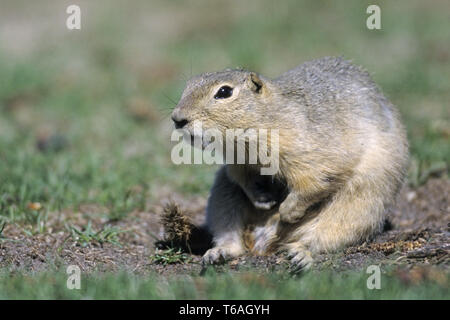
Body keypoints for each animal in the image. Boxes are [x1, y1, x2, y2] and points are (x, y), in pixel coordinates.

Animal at [171, 56, 408, 268]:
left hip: (355, 212)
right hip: (222, 198)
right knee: (233, 241)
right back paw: (218, 253)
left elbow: (315, 182)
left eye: (224, 92)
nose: (177, 118)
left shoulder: (314, 153)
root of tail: (262, 242)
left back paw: (300, 255)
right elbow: (243, 179)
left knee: (317, 239)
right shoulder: (238, 163)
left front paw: (286, 211)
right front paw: (263, 199)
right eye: (189, 84)